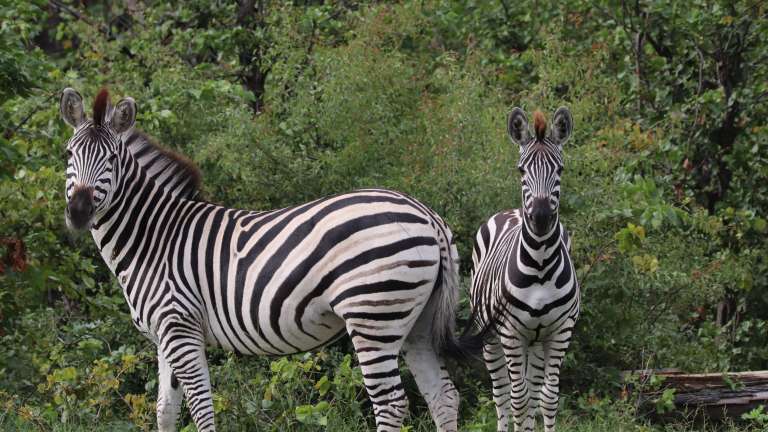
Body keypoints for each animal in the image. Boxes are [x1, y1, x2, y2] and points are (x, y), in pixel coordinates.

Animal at [59, 88, 462, 432]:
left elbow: (201, 408)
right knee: (443, 397)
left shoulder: (181, 328)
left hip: (373, 316)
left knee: (392, 404)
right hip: (415, 322)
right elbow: (165, 411)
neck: (154, 237)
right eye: (68, 155)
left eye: (112, 159)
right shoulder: (164, 336)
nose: (78, 212)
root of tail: (427, 214)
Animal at [466, 107, 579, 432]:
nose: (540, 218)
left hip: (537, 342)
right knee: (502, 394)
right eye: (521, 170)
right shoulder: (510, 332)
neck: (540, 263)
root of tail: (512, 211)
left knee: (533, 390)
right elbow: (518, 399)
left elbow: (547, 399)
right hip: (489, 334)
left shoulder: (560, 331)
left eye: (560, 169)